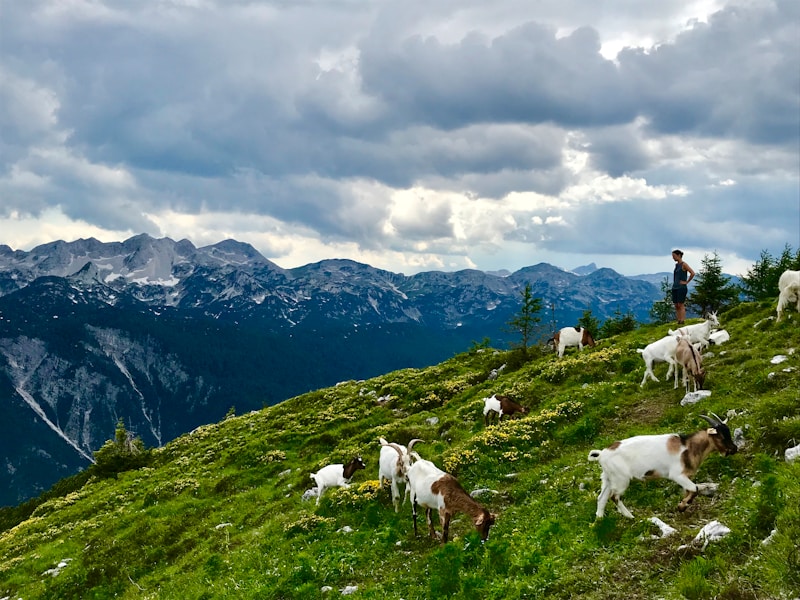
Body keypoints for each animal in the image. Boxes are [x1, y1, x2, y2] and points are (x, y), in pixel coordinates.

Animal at [588, 414, 736, 516]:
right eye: (722, 437)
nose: (734, 449)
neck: (688, 446)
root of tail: (602, 454)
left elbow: (692, 490)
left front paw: (683, 504)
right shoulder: (677, 475)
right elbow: (694, 489)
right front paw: (681, 507)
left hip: (608, 478)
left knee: (602, 498)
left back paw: (599, 521)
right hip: (621, 479)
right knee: (614, 497)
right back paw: (630, 516)